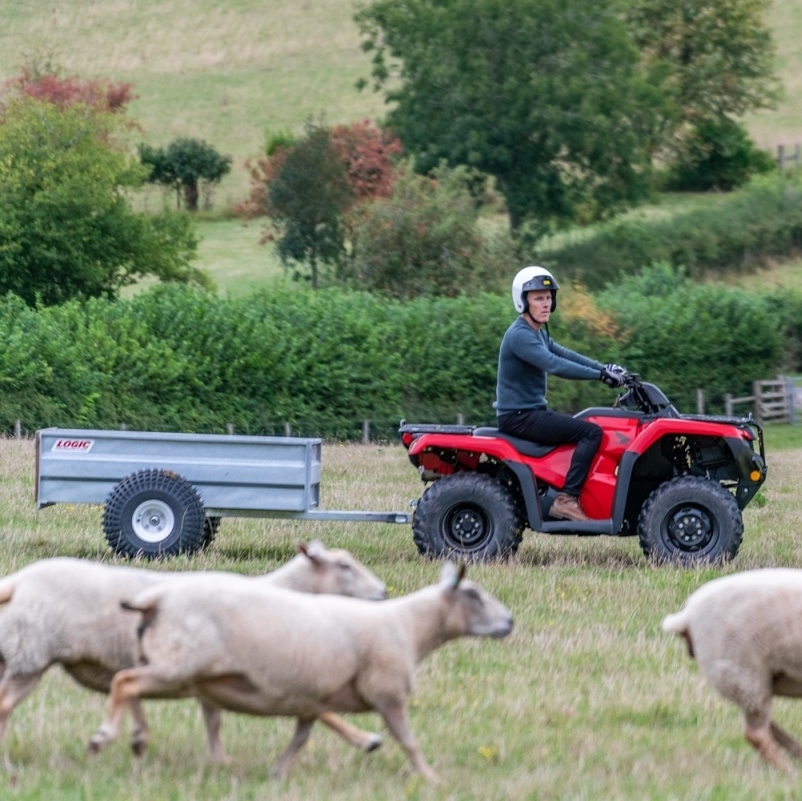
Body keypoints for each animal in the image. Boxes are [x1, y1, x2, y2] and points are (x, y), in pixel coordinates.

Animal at [0, 544, 388, 756]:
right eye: (344, 566)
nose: (384, 592)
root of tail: (16, 581)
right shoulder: (276, 674)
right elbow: (324, 711)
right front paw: (367, 739)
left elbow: (213, 723)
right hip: (29, 656)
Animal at [87, 564, 512, 780]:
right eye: (474, 595)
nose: (510, 621)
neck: (407, 625)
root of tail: (155, 599)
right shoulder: (387, 693)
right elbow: (408, 741)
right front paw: (431, 779)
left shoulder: (310, 696)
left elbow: (301, 738)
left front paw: (278, 773)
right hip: (180, 665)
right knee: (125, 682)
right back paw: (104, 736)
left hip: (174, 667)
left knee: (130, 684)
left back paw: (138, 738)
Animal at [660, 568, 802, 768]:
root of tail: (687, 615)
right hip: (743, 672)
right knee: (755, 733)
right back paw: (787, 770)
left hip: (748, 679)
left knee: (765, 725)